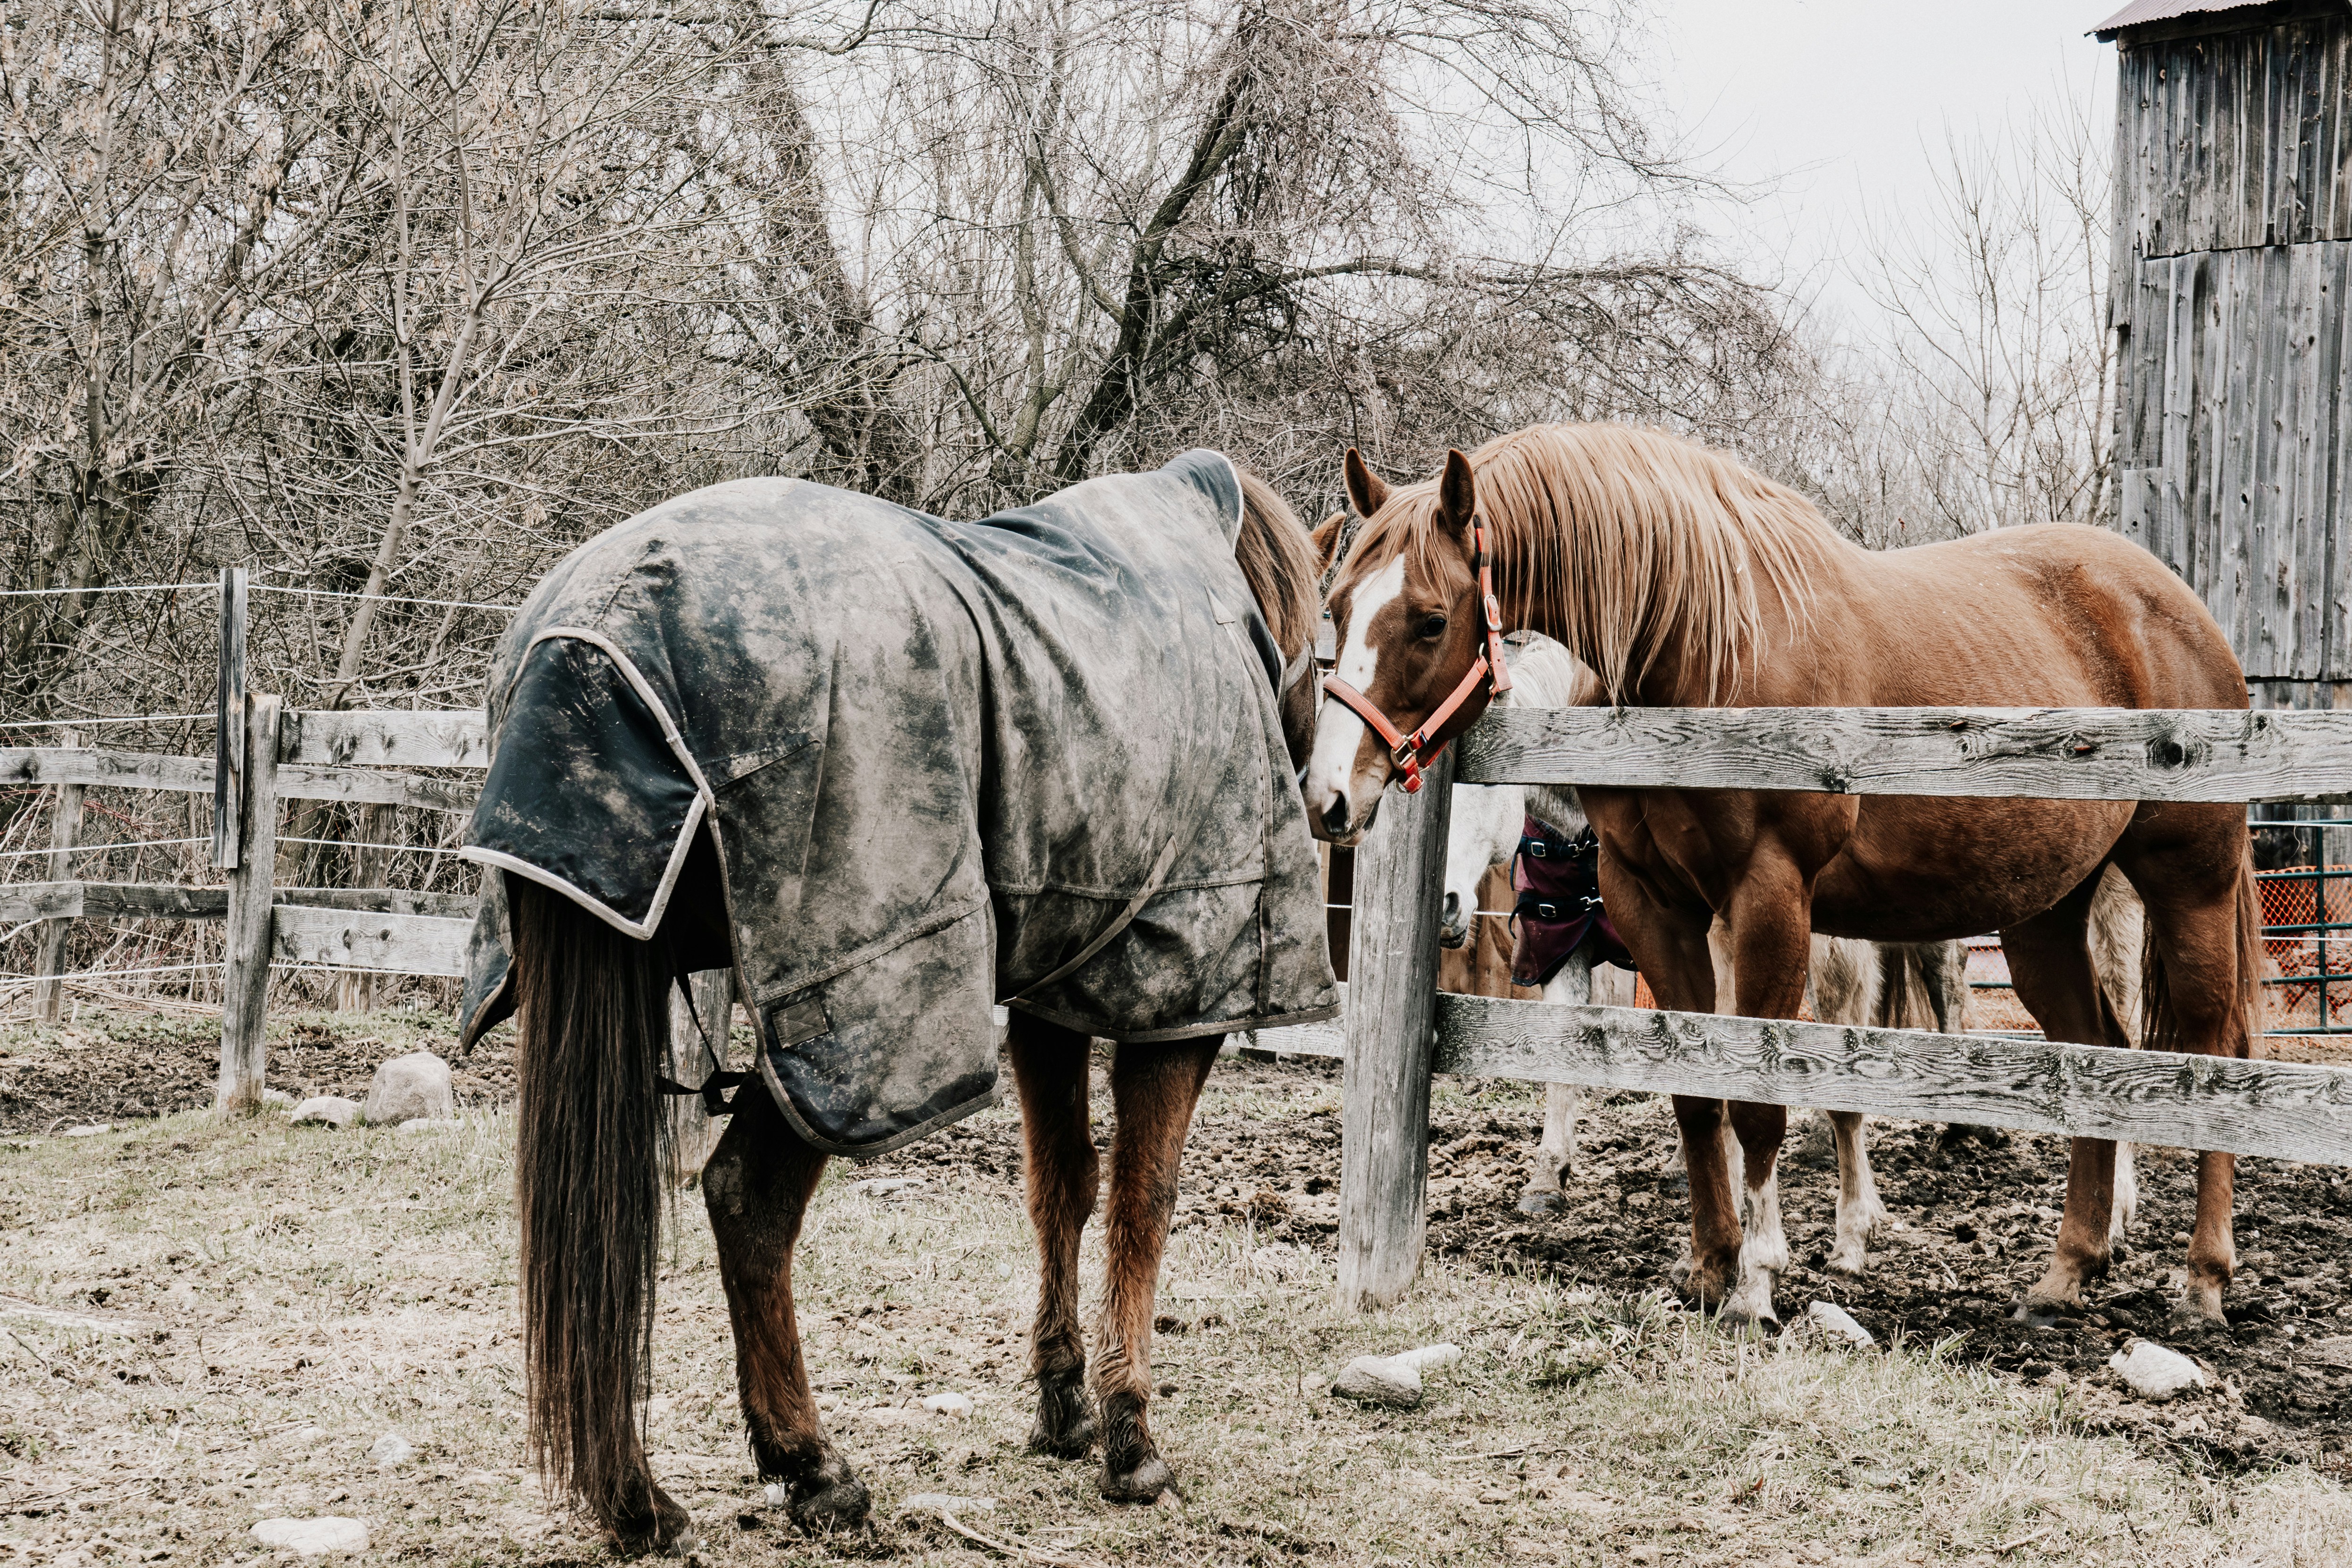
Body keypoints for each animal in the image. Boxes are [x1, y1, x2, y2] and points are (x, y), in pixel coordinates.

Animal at [457, 453, 1331, 1549]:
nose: (1338, 800)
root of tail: (592, 626)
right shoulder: (1180, 995)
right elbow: (1144, 1199)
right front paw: (1131, 1437)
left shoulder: (1049, 993)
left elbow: (1063, 1186)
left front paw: (1065, 1407)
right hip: (849, 1025)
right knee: (745, 1198)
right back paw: (808, 1465)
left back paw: (639, 1497)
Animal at [1306, 424, 2262, 1327]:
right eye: (1337, 606)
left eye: (1430, 619)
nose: (1328, 796)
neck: (1704, 651)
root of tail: (2175, 604)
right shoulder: (1651, 906)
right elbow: (1696, 1093)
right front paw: (1706, 1265)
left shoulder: (1769, 901)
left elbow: (1762, 1101)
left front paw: (1757, 1282)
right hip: (2044, 915)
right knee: (2095, 1054)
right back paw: (2067, 1270)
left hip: (2185, 885)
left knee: (2212, 1057)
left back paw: (2202, 1278)